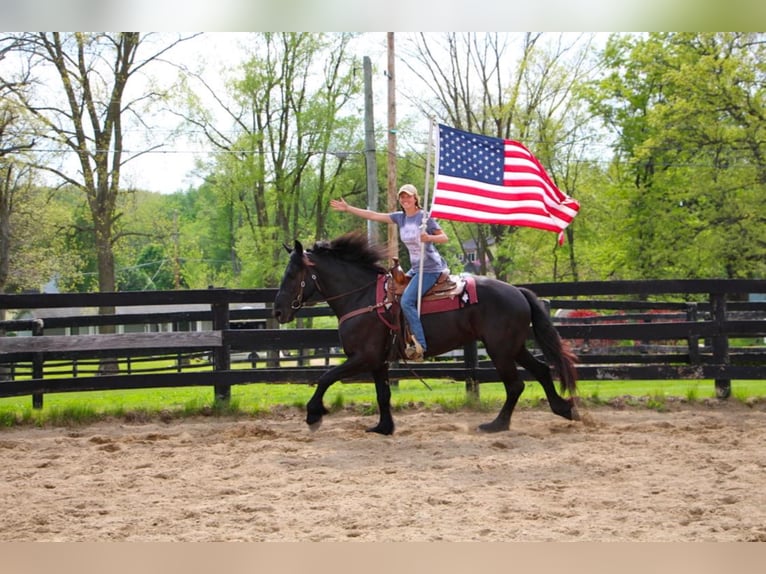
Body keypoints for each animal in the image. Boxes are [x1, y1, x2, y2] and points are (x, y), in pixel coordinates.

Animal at [272, 231, 580, 436]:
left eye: (291, 275)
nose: (277, 311)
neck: (362, 298)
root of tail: (518, 291)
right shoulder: (377, 361)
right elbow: (383, 394)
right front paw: (383, 427)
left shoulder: (362, 357)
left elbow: (326, 377)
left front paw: (313, 414)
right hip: (513, 347)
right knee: (541, 371)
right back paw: (563, 408)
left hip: (500, 350)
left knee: (516, 384)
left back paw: (497, 425)